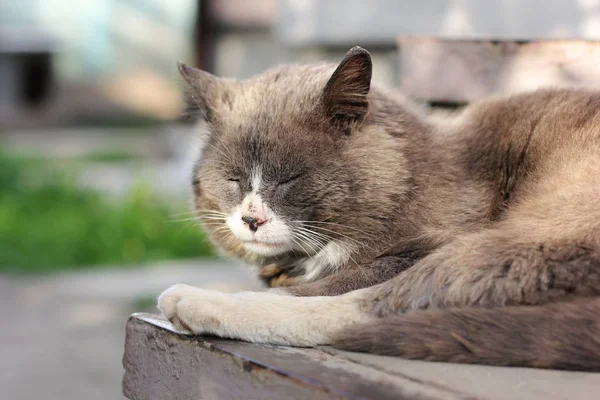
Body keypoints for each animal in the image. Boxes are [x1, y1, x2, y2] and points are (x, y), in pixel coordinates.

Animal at [156, 47, 600, 372]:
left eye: (289, 178)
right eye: (233, 179)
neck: (410, 174)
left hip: (538, 236)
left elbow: (340, 284)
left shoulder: (425, 243)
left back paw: (193, 301)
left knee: (377, 306)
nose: (251, 219)